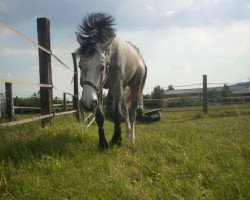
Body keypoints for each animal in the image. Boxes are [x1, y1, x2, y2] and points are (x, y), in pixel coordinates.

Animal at [75, 12, 147, 148]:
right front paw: (103, 143)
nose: (87, 104)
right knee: (126, 110)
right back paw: (128, 134)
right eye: (80, 66)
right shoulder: (99, 88)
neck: (111, 55)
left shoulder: (116, 84)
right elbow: (100, 116)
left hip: (134, 87)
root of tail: (140, 56)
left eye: (102, 67)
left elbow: (117, 115)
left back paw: (132, 138)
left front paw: (116, 140)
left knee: (132, 113)